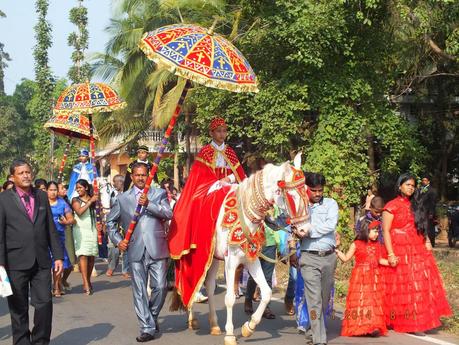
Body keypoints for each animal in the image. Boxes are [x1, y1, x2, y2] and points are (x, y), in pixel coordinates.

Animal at [178, 153, 310, 344]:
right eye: (292, 196)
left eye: (306, 191)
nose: (305, 230)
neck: (247, 215)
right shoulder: (231, 261)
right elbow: (230, 298)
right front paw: (230, 334)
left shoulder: (251, 259)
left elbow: (267, 292)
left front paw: (249, 327)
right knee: (187, 284)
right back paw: (192, 318)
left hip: (213, 259)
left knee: (209, 286)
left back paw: (214, 325)